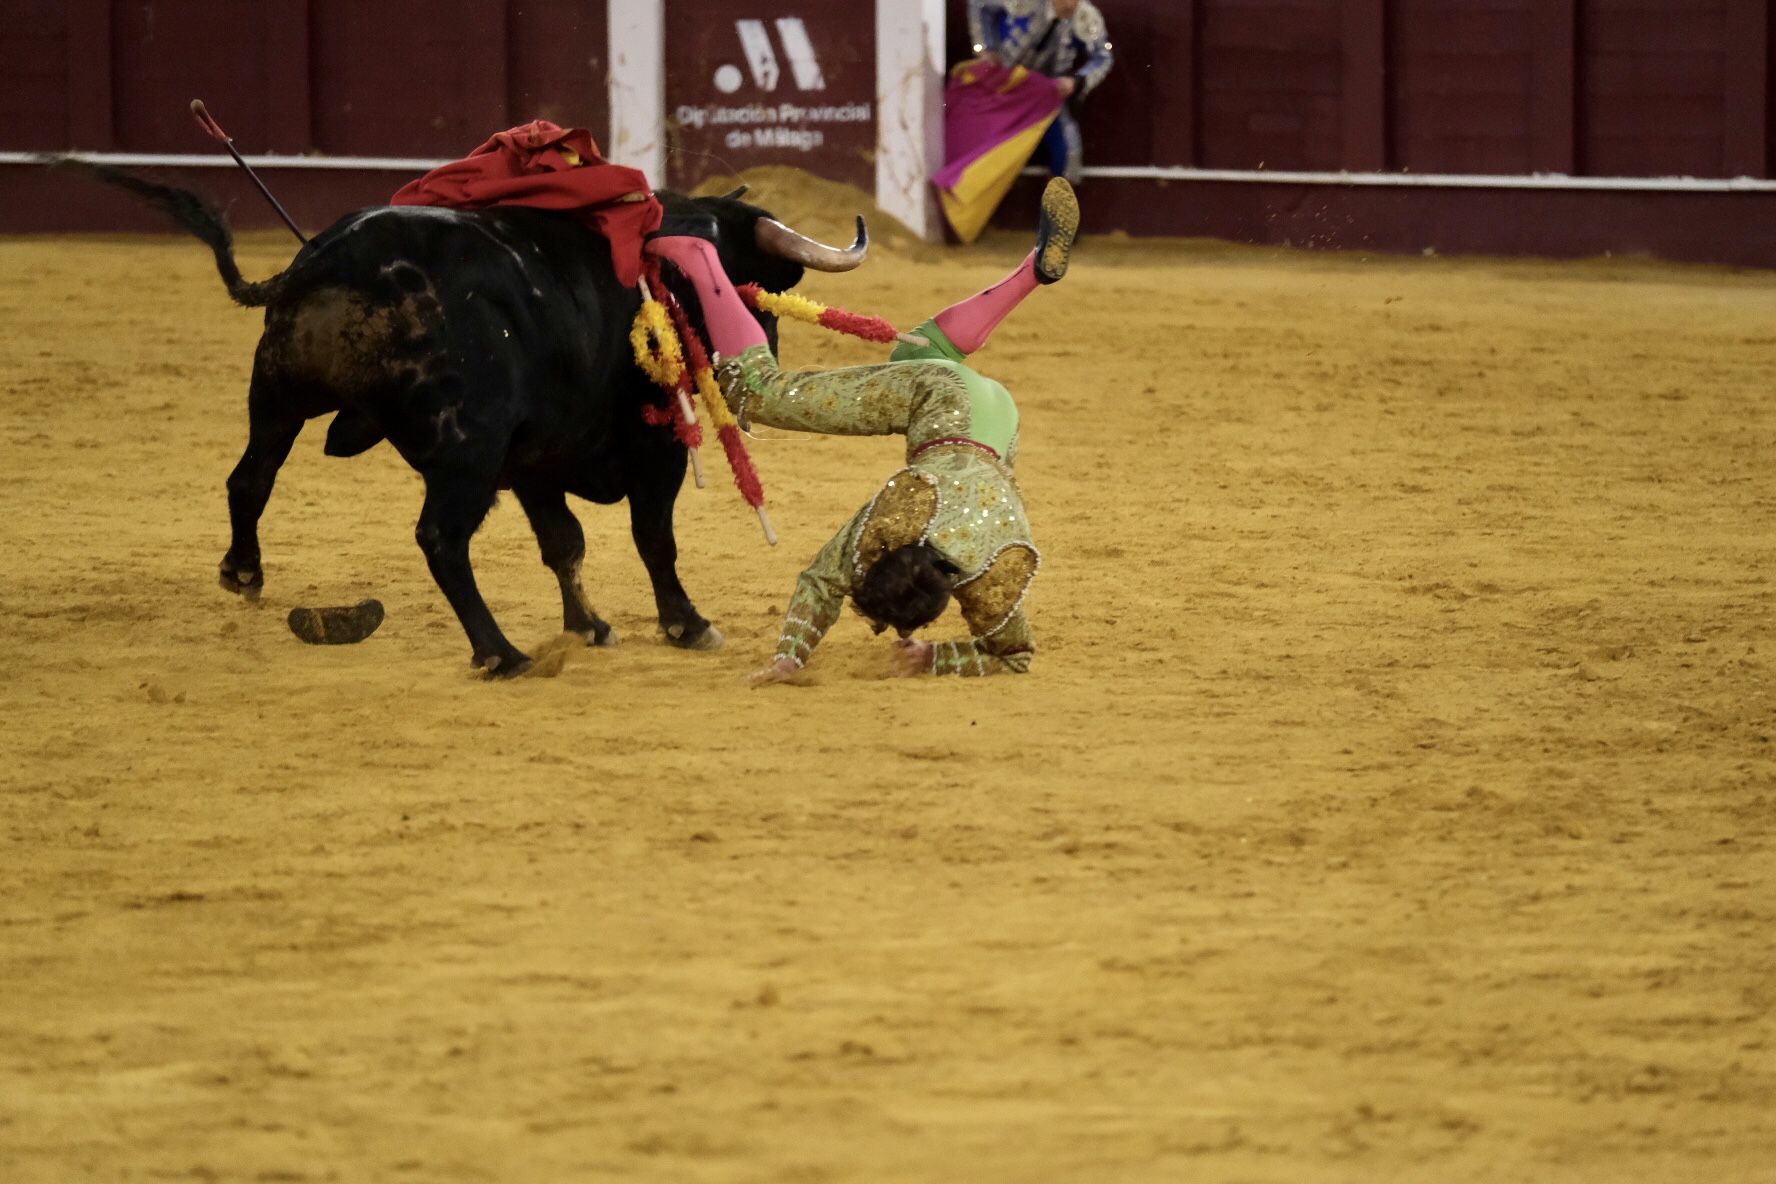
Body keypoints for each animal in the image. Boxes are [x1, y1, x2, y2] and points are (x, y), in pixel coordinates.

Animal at [88, 171, 866, 681]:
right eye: (736, 279)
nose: (755, 344)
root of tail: (329, 259)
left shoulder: (534, 461)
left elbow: (564, 543)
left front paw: (589, 626)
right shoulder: (651, 451)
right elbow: (653, 540)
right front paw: (688, 624)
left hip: (277, 394)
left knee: (249, 479)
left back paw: (244, 573)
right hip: (465, 447)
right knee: (440, 538)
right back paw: (501, 653)